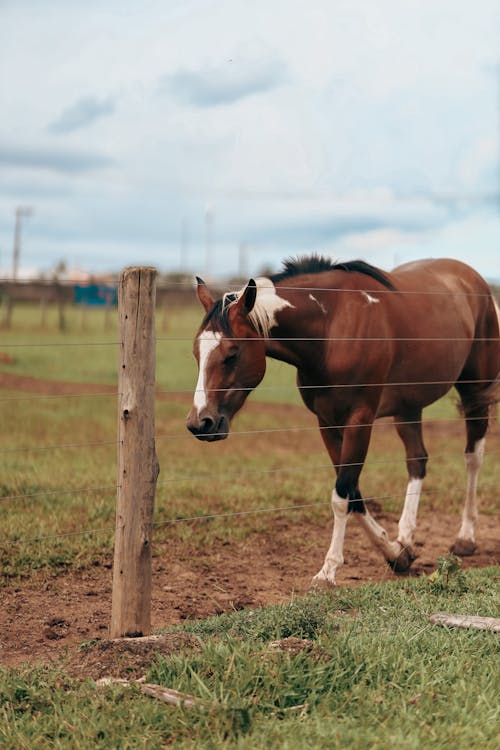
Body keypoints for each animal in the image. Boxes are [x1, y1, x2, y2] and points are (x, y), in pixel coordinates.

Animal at [186, 256, 498, 584]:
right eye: (197, 353)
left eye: (232, 354)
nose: (200, 423)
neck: (332, 327)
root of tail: (472, 278)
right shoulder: (327, 422)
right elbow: (354, 492)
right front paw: (395, 553)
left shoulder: (359, 420)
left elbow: (342, 494)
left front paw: (328, 570)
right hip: (408, 407)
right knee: (417, 460)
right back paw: (406, 537)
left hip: (474, 391)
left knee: (473, 457)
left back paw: (465, 538)